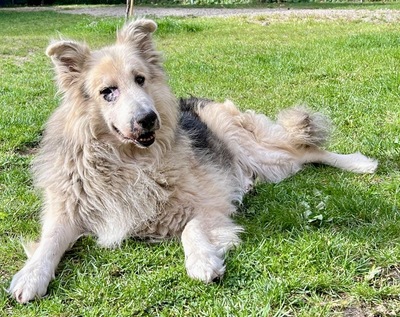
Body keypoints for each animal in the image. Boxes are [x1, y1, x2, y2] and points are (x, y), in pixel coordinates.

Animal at [8, 18, 378, 302]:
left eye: (141, 79)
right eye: (107, 92)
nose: (149, 119)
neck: (128, 159)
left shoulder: (210, 201)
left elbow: (192, 226)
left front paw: (201, 261)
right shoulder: (67, 207)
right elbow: (50, 241)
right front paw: (30, 276)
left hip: (259, 152)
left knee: (306, 151)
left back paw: (359, 163)